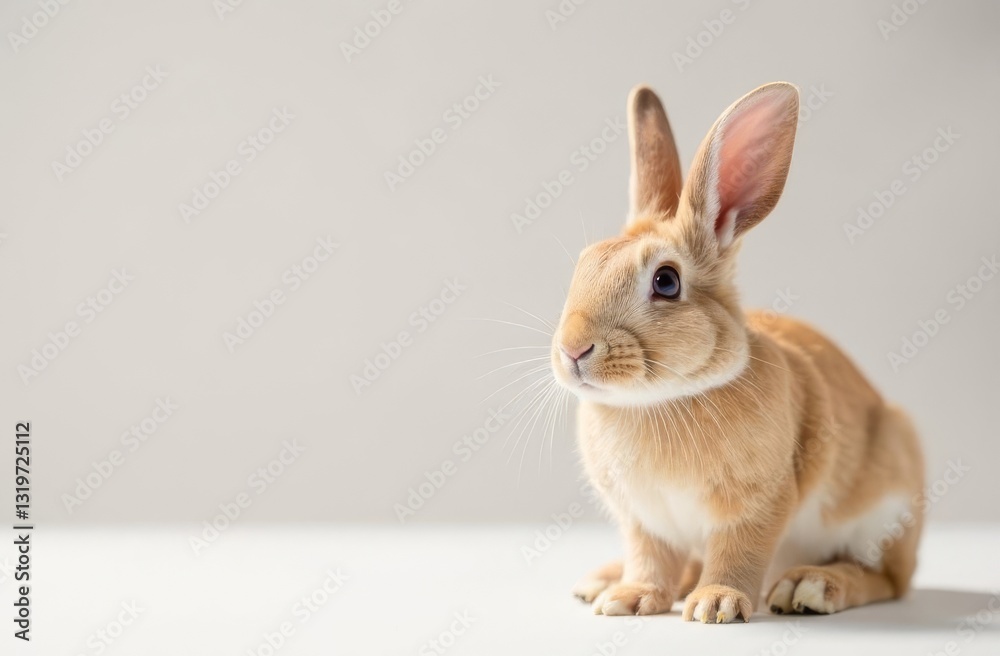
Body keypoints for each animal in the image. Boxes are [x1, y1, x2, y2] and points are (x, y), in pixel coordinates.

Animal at [551, 82, 925, 623]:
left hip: (886, 513)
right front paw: (629, 598)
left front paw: (716, 604)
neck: (661, 399)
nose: (572, 349)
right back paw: (602, 581)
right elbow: (651, 560)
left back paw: (812, 586)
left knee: (888, 578)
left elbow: (738, 553)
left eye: (666, 281)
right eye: (584, 265)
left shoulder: (757, 504)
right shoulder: (645, 520)